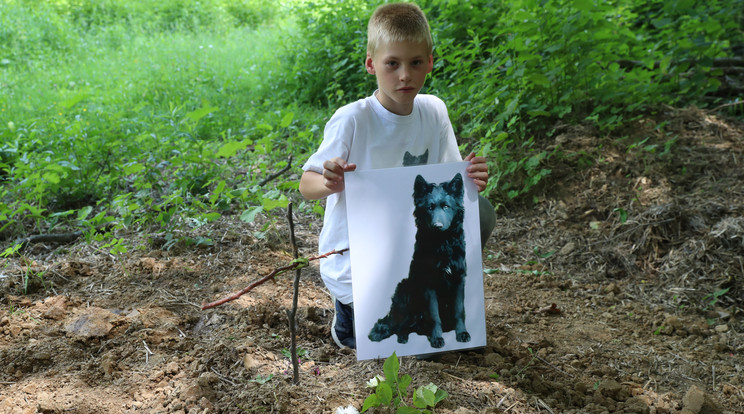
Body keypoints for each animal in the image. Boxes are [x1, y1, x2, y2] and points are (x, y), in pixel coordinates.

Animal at [368, 173, 470, 348]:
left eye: (446, 207)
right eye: (429, 208)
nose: (437, 226)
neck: (442, 244)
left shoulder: (459, 279)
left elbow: (459, 310)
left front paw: (462, 333)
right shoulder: (429, 284)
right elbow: (434, 315)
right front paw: (436, 338)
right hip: (404, 289)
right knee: (399, 326)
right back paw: (403, 337)